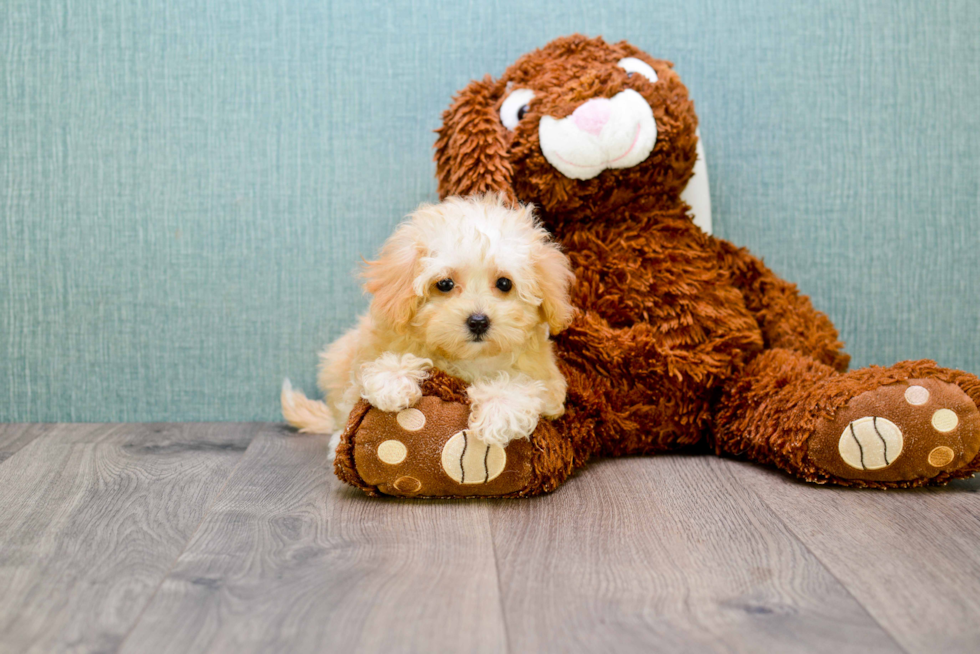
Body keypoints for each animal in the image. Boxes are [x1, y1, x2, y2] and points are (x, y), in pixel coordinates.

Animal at [282, 195, 576, 452]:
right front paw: (392, 380)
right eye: (444, 284)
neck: (467, 359)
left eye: (504, 283)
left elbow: (524, 383)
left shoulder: (546, 381)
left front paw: (499, 409)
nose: (478, 321)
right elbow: (379, 364)